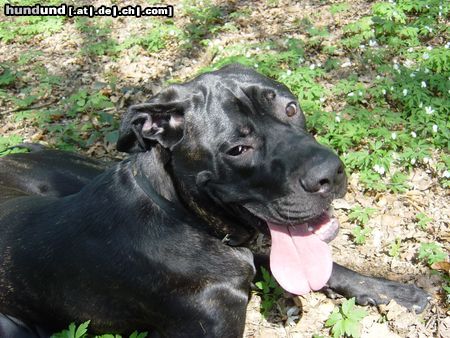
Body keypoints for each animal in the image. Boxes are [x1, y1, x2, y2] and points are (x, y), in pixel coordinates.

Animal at [0, 64, 428, 336]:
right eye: (237, 149)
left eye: (291, 108)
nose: (331, 172)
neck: (182, 216)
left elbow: (332, 268)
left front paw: (393, 291)